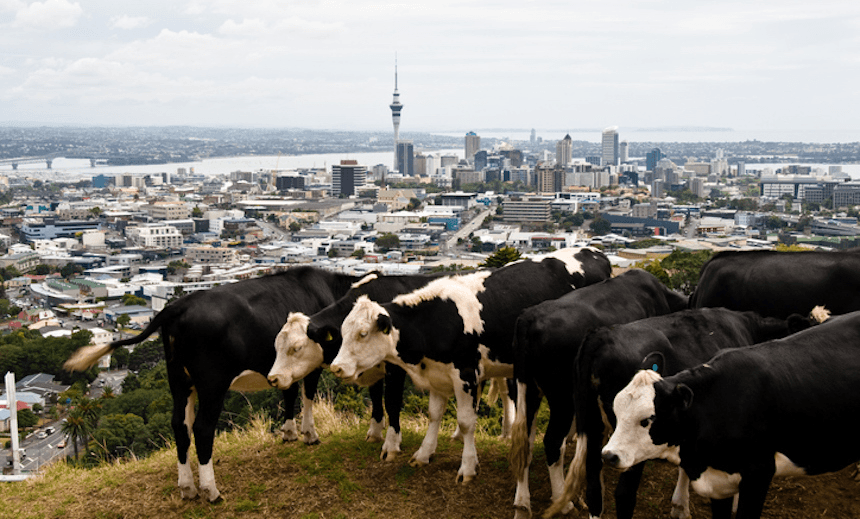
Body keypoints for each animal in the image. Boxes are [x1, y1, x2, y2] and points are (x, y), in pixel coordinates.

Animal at [64, 266, 360, 502]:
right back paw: (211, 491)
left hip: (179, 379)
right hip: (212, 383)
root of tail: (175, 307)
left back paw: (187, 488)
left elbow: (289, 393)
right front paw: (310, 434)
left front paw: (289, 433)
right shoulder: (312, 362)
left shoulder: (288, 365)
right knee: (203, 429)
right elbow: (307, 396)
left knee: (180, 426)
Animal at [267, 271, 461, 461]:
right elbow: (375, 396)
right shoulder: (371, 365)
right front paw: (375, 432)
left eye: (297, 348)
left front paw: (391, 444)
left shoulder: (395, 368)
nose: (273, 378)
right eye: (276, 346)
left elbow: (391, 401)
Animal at [330, 247, 612, 483]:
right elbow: (434, 414)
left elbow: (466, 422)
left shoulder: (465, 374)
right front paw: (423, 454)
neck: (437, 318)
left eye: (363, 334)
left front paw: (467, 467)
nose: (336, 367)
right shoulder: (437, 374)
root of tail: (594, 252)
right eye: (343, 331)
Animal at [509, 269, 689, 518]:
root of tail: (529, 317)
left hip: (529, 390)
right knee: (552, 441)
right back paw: (563, 500)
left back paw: (522, 503)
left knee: (524, 441)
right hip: (562, 397)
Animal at [544, 307, 816, 519]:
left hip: (592, 425)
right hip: (629, 445)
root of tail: (599, 335)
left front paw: (679, 505)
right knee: (623, 494)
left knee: (594, 489)